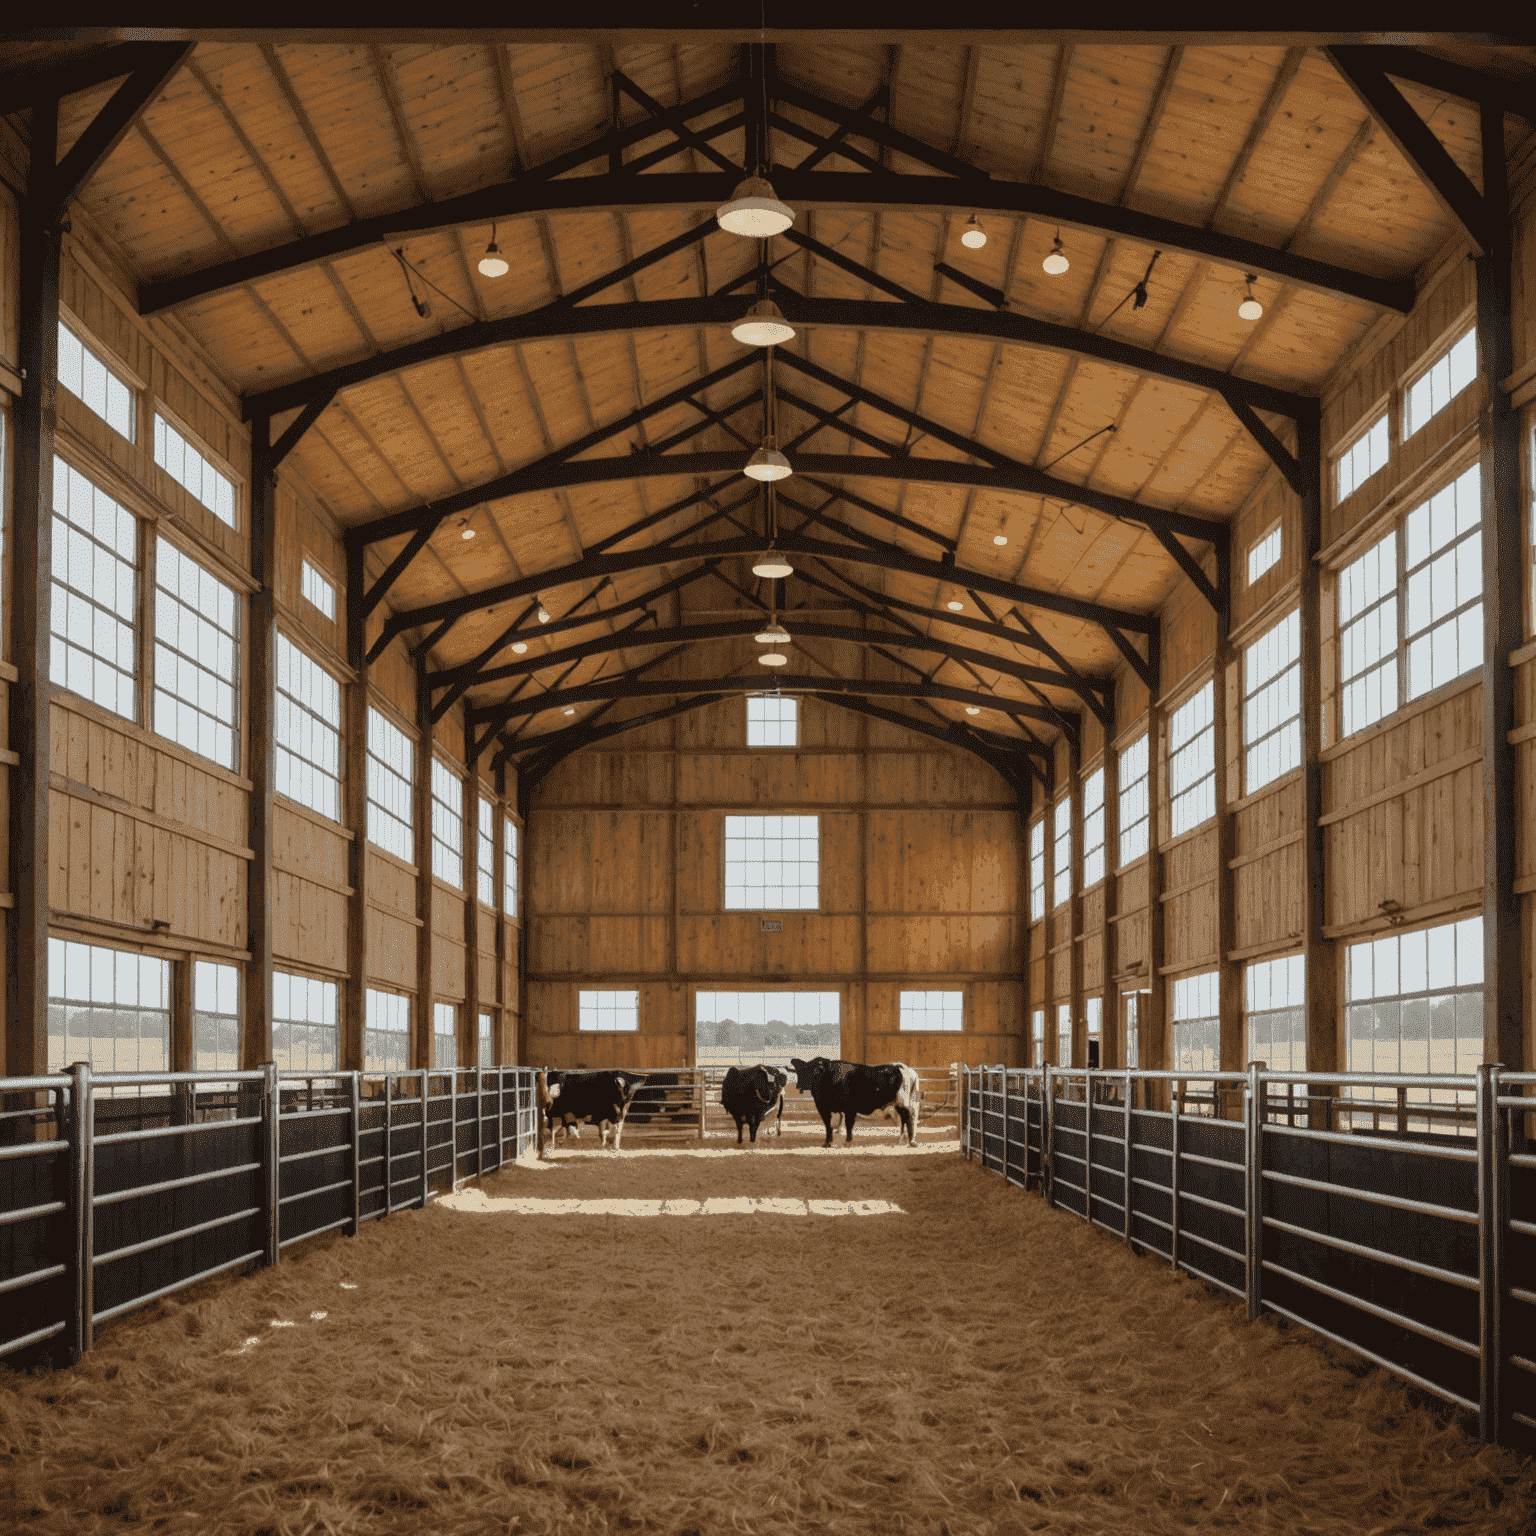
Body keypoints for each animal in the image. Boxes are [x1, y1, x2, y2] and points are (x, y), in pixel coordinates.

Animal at [786, 1062, 915, 1148]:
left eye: (809, 1071)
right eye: (799, 1071)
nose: (798, 1085)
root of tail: (899, 1066)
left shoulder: (828, 1108)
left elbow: (833, 1125)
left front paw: (831, 1142)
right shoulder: (846, 1110)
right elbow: (845, 1125)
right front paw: (846, 1140)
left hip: (902, 1103)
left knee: (908, 1118)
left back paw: (910, 1141)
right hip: (899, 1105)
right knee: (904, 1119)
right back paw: (902, 1139)